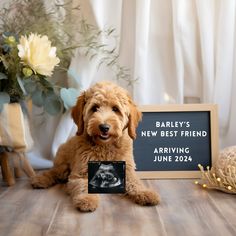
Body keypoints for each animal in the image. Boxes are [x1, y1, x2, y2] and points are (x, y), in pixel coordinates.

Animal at [31, 81, 159, 212]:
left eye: (115, 109)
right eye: (95, 108)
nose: (104, 127)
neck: (105, 146)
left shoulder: (127, 169)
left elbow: (135, 182)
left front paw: (145, 192)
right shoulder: (81, 172)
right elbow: (84, 186)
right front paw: (87, 199)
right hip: (63, 165)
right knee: (54, 172)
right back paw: (40, 179)